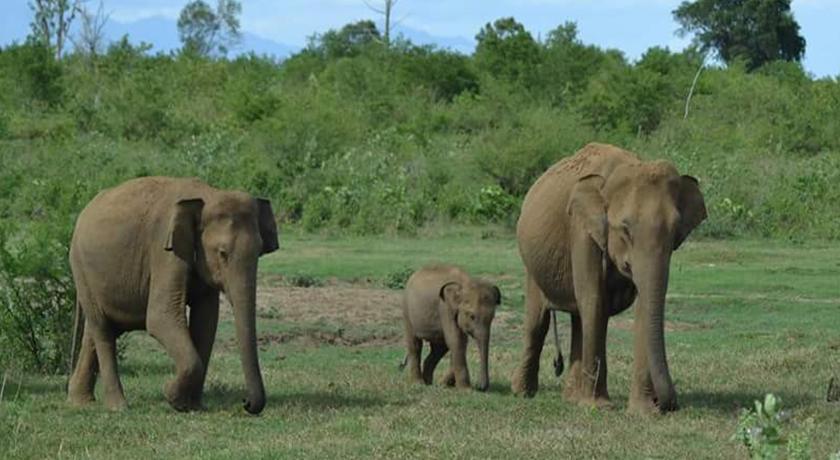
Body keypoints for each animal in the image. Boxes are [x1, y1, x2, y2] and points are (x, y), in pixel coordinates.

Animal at [68, 176, 278, 414]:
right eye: (222, 253)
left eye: (259, 252)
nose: (245, 402)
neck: (208, 195)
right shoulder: (164, 250)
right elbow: (160, 317)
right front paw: (170, 394)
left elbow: (206, 323)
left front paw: (192, 405)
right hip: (81, 269)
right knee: (102, 330)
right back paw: (118, 406)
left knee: (96, 331)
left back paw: (80, 401)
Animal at [508, 143, 704, 414]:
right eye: (625, 229)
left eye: (675, 230)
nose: (667, 404)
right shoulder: (581, 229)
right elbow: (594, 300)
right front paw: (597, 407)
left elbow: (642, 307)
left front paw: (643, 412)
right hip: (532, 264)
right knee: (539, 321)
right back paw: (522, 393)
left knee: (579, 317)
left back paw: (571, 397)